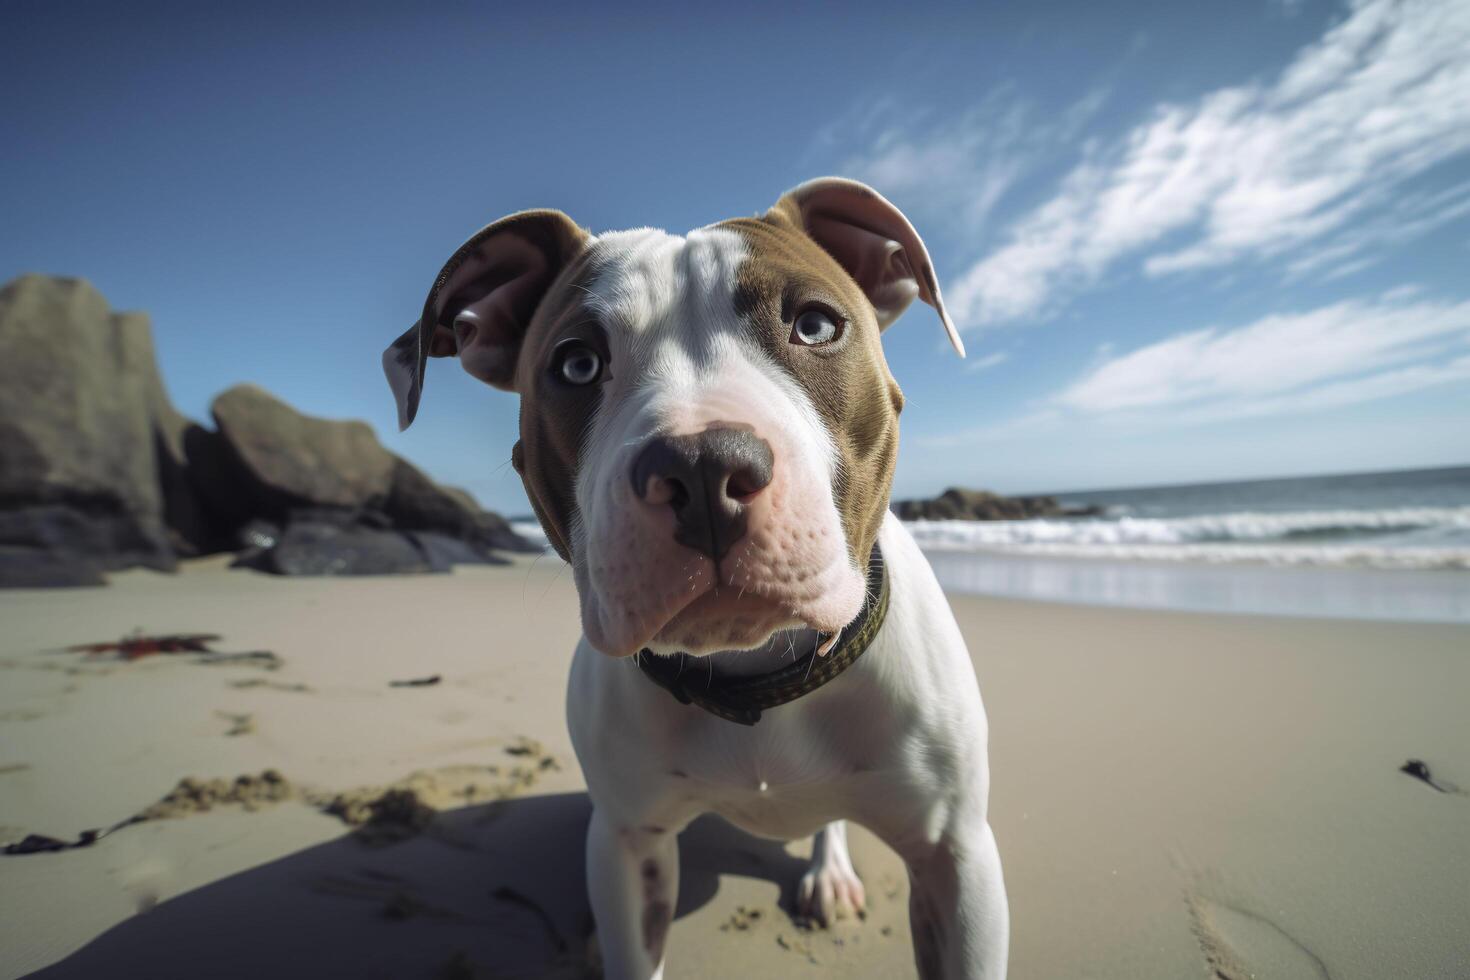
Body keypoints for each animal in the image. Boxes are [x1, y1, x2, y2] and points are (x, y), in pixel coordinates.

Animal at [385, 178, 1011, 980]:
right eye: (576, 364)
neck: (754, 676)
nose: (703, 468)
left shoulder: (956, 861)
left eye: (815, 324)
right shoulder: (628, 846)